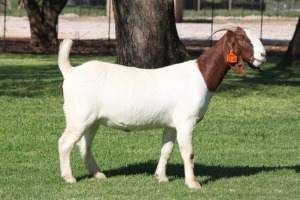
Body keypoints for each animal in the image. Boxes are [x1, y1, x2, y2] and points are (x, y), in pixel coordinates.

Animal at [57, 25, 266, 189]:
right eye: (242, 39)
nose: (263, 54)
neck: (201, 75)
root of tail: (71, 72)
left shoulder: (171, 124)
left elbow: (167, 150)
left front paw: (161, 177)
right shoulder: (186, 121)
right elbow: (188, 152)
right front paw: (193, 183)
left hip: (92, 120)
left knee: (84, 145)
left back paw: (98, 174)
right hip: (78, 116)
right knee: (65, 143)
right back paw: (69, 178)